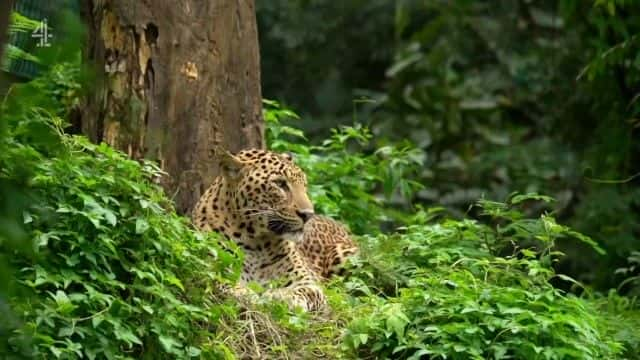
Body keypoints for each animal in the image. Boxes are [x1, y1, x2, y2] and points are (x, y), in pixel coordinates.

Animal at [190, 148, 360, 310]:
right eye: (280, 184)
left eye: (304, 185)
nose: (308, 215)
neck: (254, 241)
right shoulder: (213, 266)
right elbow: (223, 283)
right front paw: (247, 294)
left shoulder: (308, 281)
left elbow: (305, 291)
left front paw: (280, 296)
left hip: (346, 256)